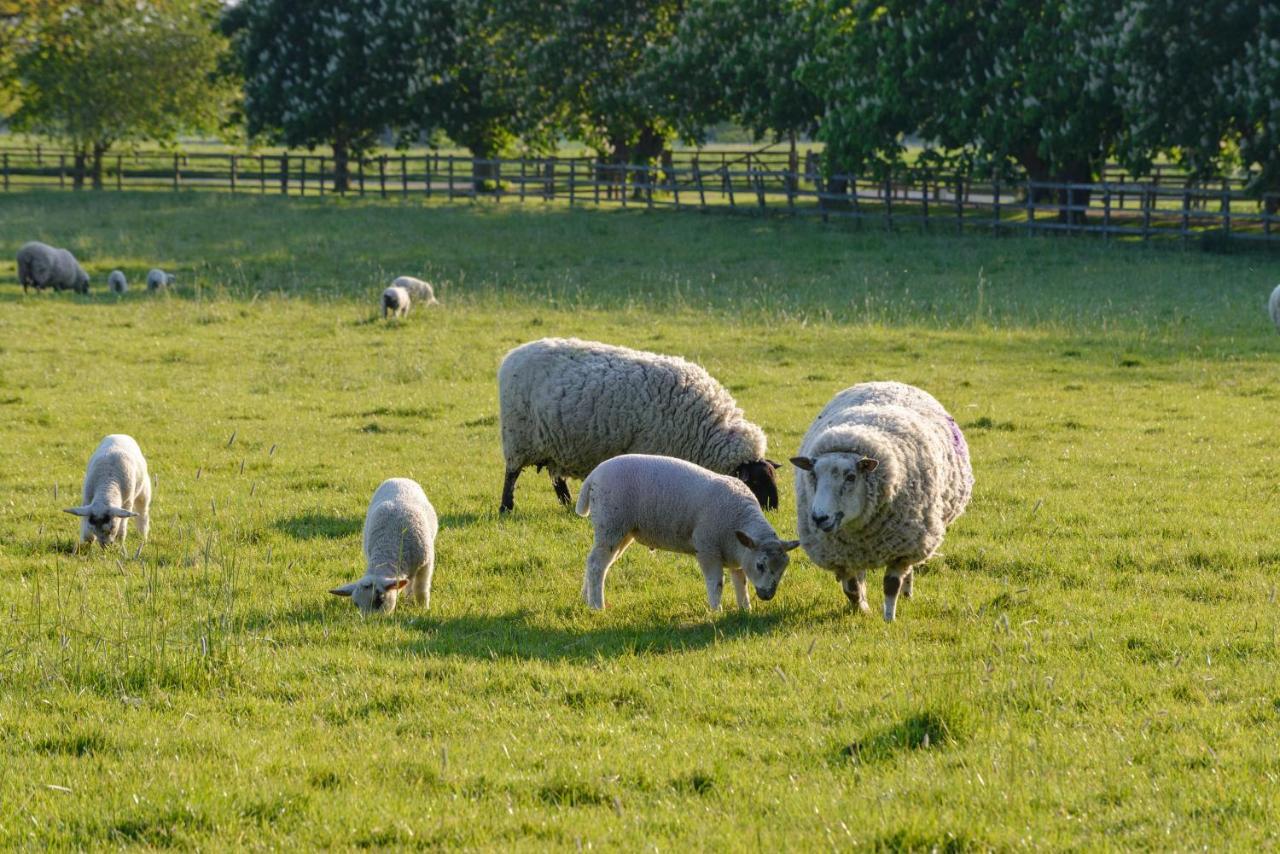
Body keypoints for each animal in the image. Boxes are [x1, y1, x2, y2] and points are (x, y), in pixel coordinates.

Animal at [330, 481, 440, 614]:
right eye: (356, 604)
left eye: (379, 600)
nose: (369, 620)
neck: (388, 548)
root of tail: (398, 479)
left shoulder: (426, 564)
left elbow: (421, 589)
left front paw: (423, 608)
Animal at [496, 338, 778, 514]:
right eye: (754, 482)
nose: (773, 510)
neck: (705, 427)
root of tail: (513, 355)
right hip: (518, 436)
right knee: (511, 474)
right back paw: (506, 508)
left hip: (554, 442)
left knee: (557, 479)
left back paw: (567, 504)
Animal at [576, 458, 793, 612]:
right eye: (760, 565)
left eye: (783, 569)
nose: (767, 596)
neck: (739, 518)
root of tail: (592, 477)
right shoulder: (707, 549)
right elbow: (716, 583)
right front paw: (717, 611)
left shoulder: (736, 554)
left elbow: (741, 582)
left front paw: (745, 609)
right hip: (611, 524)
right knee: (596, 565)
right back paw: (597, 607)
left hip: (621, 531)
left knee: (597, 562)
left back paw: (587, 599)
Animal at [783, 384, 972, 624]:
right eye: (813, 475)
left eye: (851, 477)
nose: (819, 518)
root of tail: (889, 382)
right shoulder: (840, 554)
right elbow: (851, 588)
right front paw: (862, 609)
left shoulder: (902, 549)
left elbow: (891, 586)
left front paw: (889, 618)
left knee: (908, 571)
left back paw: (907, 593)